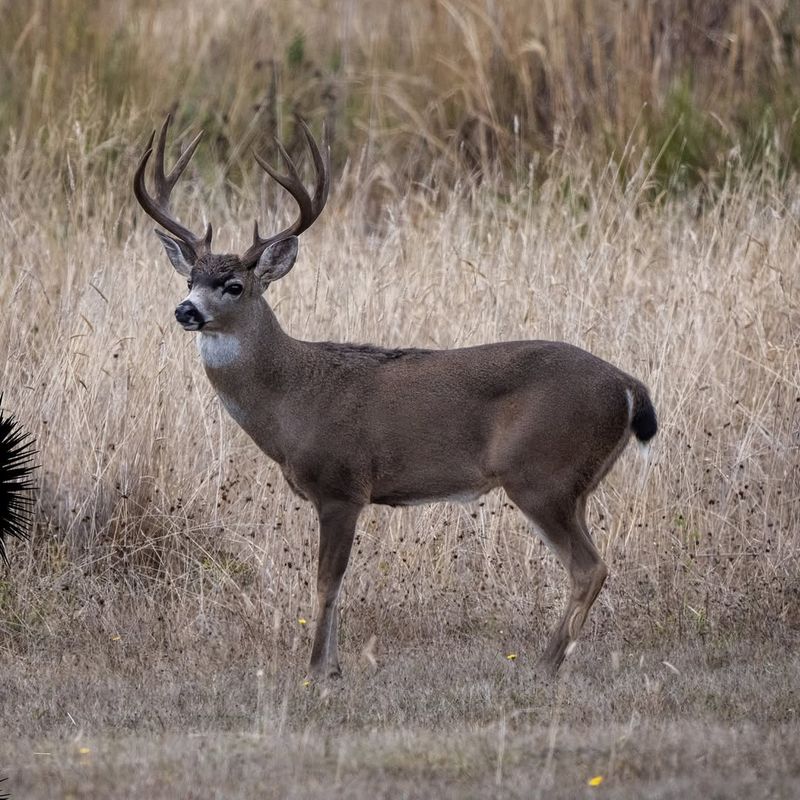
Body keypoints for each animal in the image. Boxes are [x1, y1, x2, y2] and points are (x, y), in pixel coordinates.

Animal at [133, 115, 656, 680]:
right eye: (191, 277)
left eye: (232, 285)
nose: (186, 310)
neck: (292, 400)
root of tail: (628, 386)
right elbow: (337, 584)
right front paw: (333, 668)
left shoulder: (341, 485)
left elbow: (327, 582)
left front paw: (316, 671)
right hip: (575, 485)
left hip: (541, 474)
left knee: (589, 567)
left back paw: (543, 664)